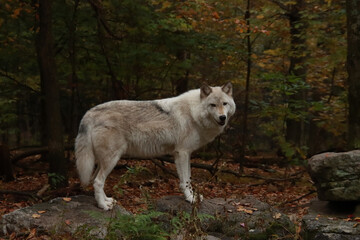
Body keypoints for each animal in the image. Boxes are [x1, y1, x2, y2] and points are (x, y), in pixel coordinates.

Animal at [74, 82, 235, 210]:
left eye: (224, 104)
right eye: (212, 105)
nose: (222, 117)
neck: (193, 113)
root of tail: (89, 113)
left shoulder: (185, 154)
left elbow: (188, 178)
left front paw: (193, 196)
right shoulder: (182, 153)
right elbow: (185, 181)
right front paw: (190, 199)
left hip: (104, 161)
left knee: (95, 180)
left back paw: (107, 200)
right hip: (112, 159)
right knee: (98, 181)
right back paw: (103, 206)